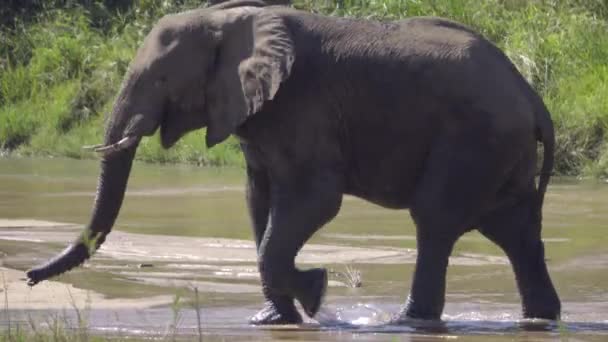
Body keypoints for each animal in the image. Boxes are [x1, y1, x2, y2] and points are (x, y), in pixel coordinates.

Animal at [27, 0, 560, 324]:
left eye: (160, 79)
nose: (28, 277)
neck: (228, 19)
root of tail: (534, 98)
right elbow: (258, 199)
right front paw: (274, 319)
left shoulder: (302, 104)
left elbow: (314, 199)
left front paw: (316, 292)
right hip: (498, 149)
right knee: (514, 230)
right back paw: (542, 318)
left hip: (475, 138)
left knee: (435, 219)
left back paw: (408, 320)